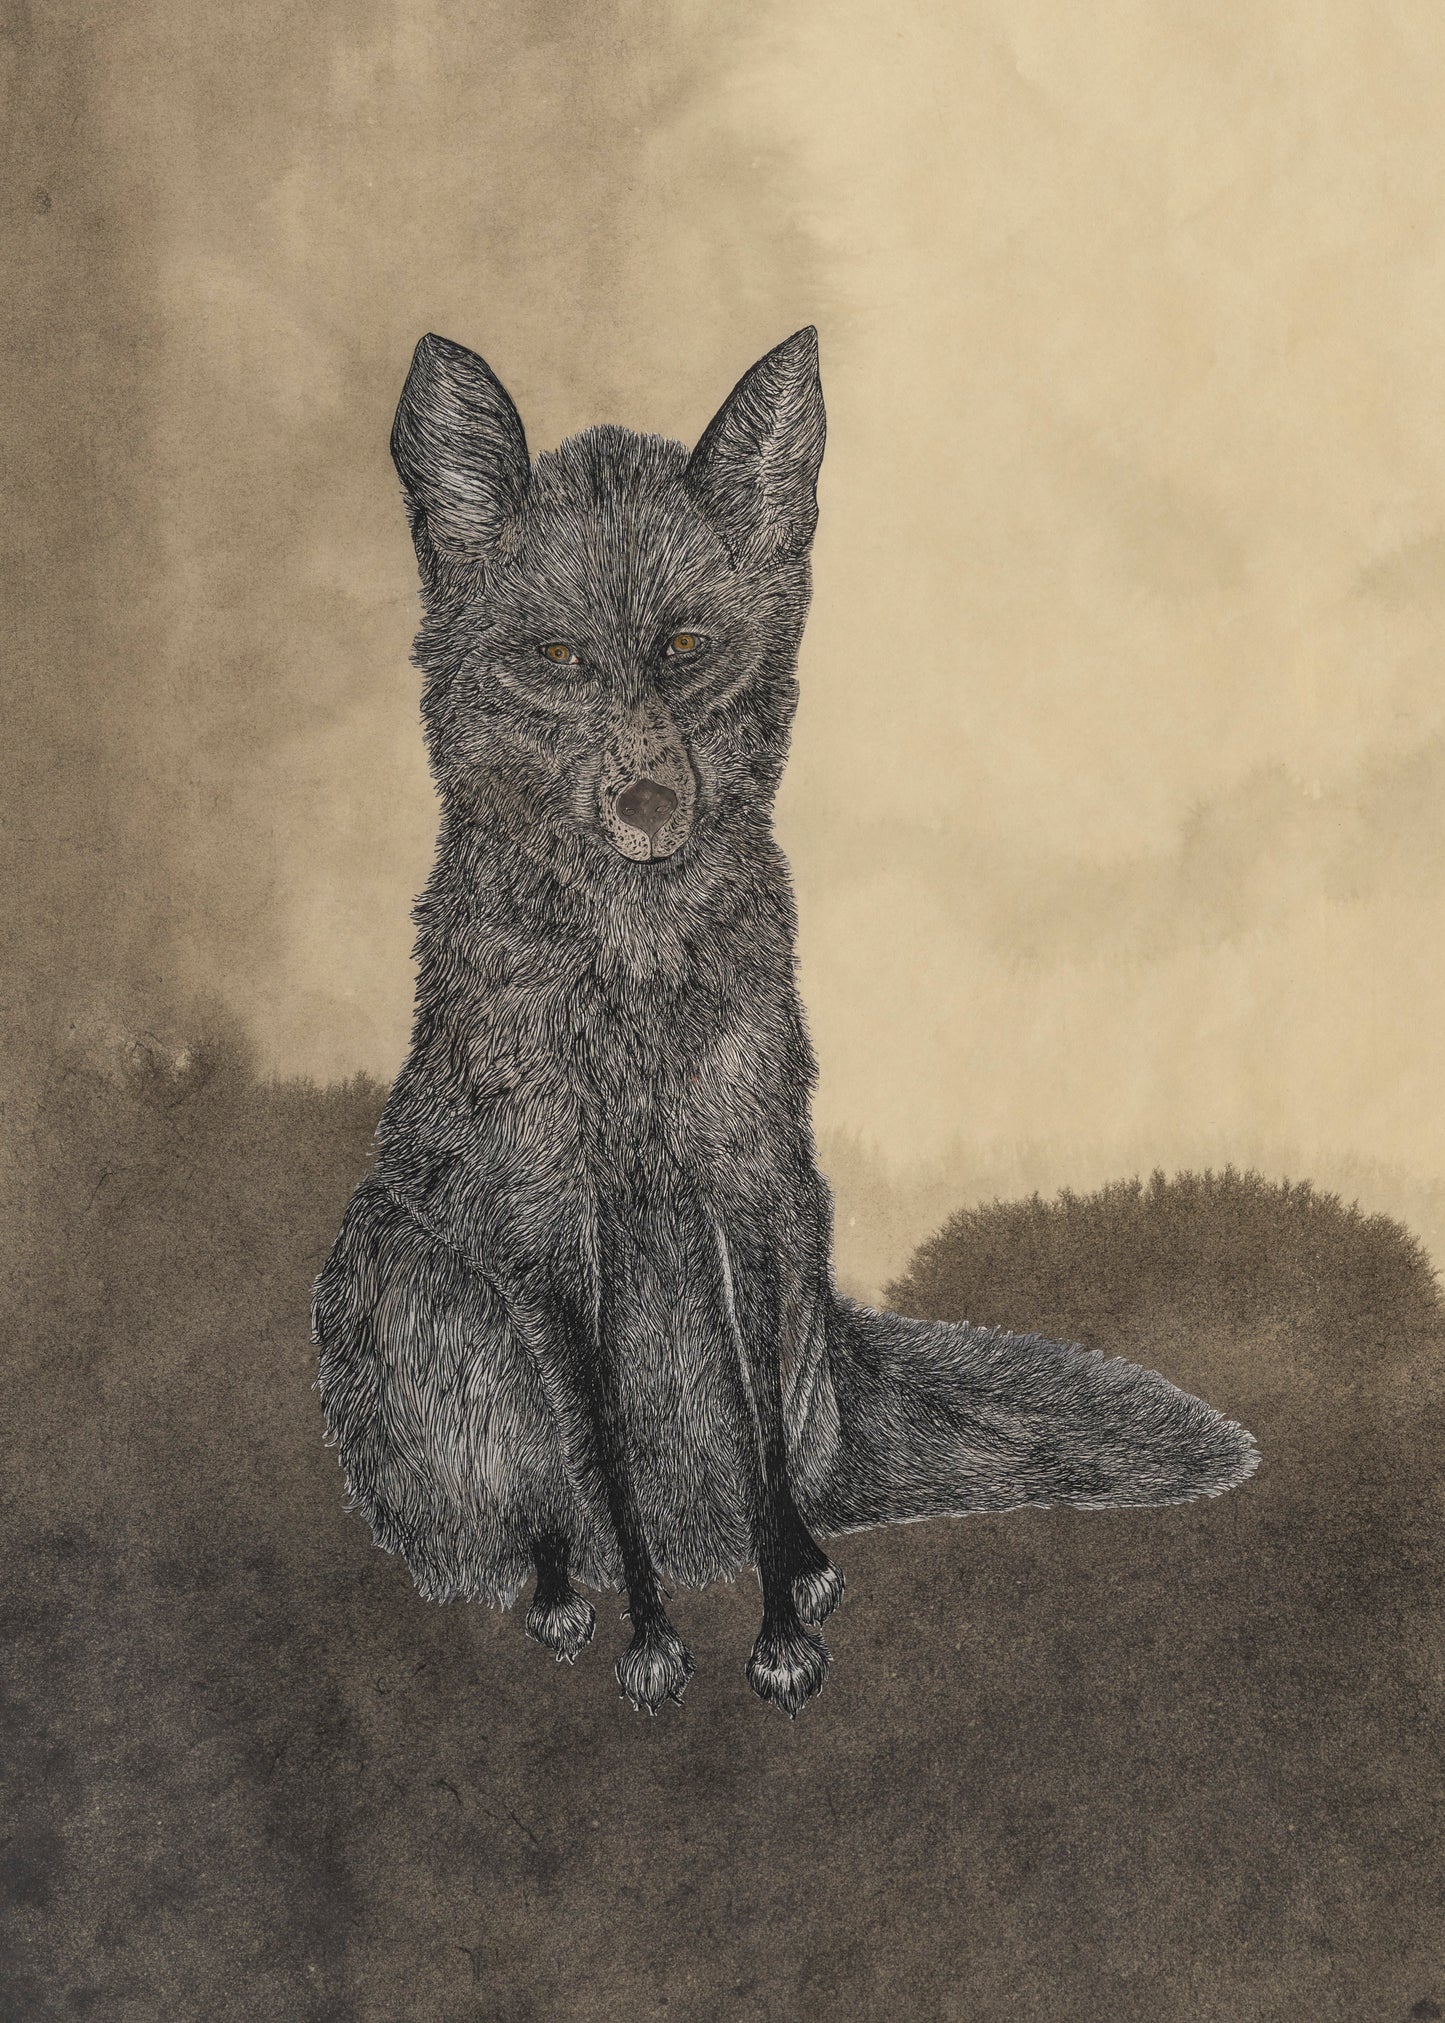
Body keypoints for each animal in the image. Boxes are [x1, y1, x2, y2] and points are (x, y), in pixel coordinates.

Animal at [313, 327, 1258, 1717]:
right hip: (408, 1287)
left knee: (781, 1466)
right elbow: (599, 1449)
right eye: (556, 660)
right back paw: (560, 1591)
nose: (650, 803)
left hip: (805, 1251)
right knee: (538, 1514)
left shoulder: (745, 1193)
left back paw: (798, 1559)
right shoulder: (554, 1235)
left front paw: (779, 1628)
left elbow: (756, 1438)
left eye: (686, 645)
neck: (637, 1004)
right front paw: (655, 1640)